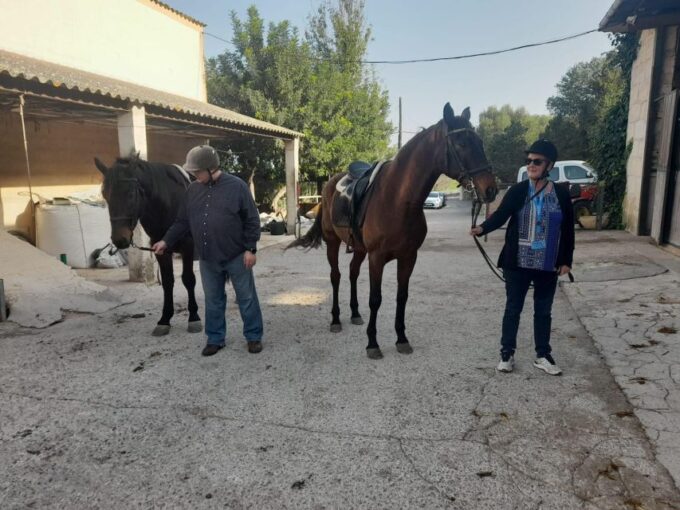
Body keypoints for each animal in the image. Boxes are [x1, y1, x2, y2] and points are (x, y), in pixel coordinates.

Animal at [94, 155, 202, 337]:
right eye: (105, 194)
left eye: (130, 193)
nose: (120, 239)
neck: (170, 202)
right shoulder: (160, 249)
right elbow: (167, 282)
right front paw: (164, 319)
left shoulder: (188, 246)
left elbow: (188, 279)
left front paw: (194, 317)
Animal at [288, 103, 497, 359]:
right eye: (461, 144)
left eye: (479, 141)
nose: (490, 189)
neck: (398, 200)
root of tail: (329, 185)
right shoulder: (377, 258)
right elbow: (375, 299)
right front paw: (372, 343)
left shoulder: (408, 257)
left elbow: (401, 297)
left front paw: (401, 339)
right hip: (333, 243)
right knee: (336, 276)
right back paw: (336, 320)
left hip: (359, 249)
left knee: (352, 273)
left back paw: (355, 314)